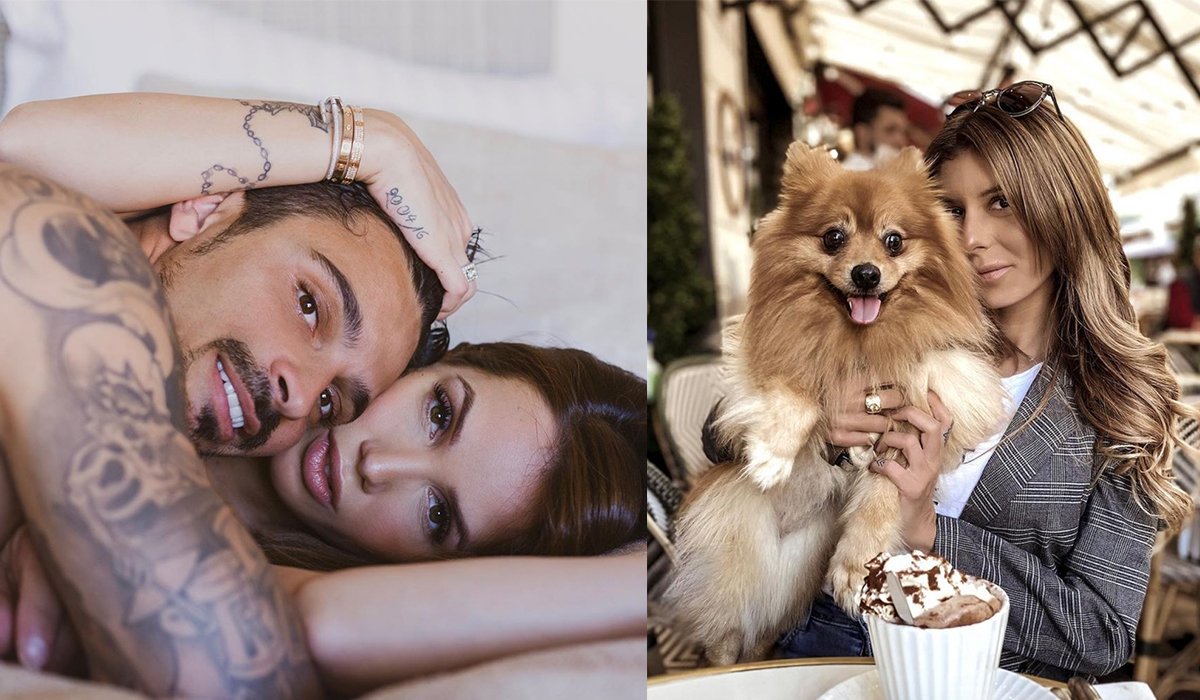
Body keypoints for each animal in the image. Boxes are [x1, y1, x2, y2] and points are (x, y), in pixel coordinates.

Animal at [667, 144, 1012, 667]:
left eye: (893, 241)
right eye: (834, 237)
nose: (866, 273)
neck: (861, 346)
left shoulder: (920, 415)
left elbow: (882, 494)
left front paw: (856, 568)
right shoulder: (775, 357)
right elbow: (803, 389)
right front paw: (772, 453)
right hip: (735, 544)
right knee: (728, 628)